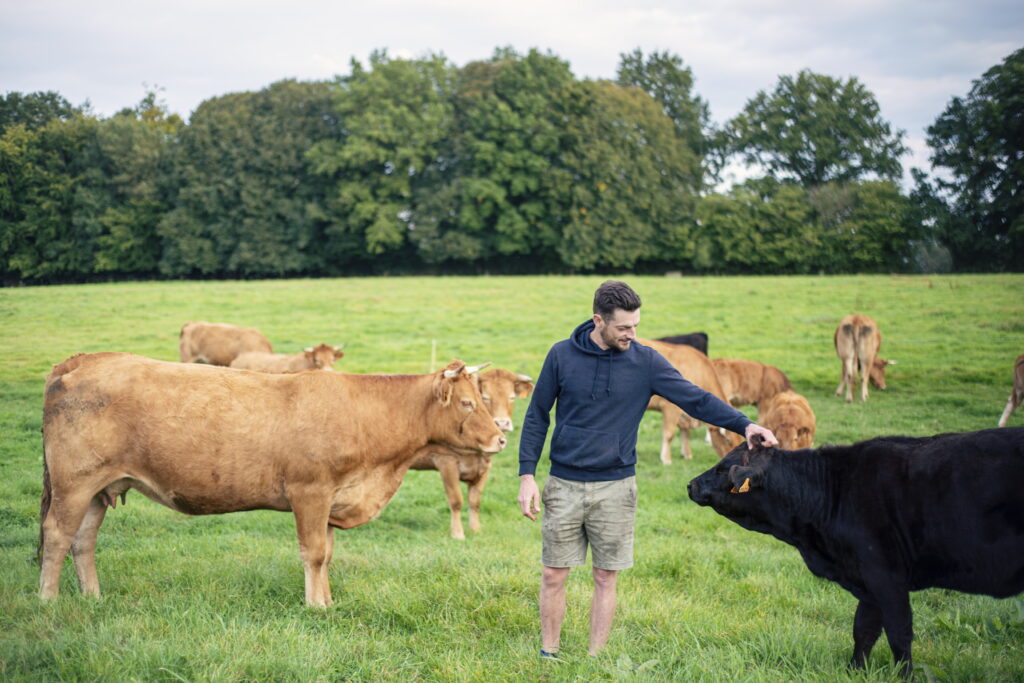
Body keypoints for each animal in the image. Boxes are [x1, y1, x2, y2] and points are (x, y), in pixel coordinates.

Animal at [38, 353, 506, 607]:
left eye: (482, 398)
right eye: (468, 403)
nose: (501, 437)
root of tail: (83, 360)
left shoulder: (332, 499)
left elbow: (327, 555)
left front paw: (327, 600)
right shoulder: (310, 492)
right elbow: (313, 553)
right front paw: (316, 606)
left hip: (99, 489)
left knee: (83, 541)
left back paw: (93, 597)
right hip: (74, 484)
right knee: (57, 535)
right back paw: (48, 599)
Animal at [408, 368, 534, 539]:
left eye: (512, 397)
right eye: (485, 397)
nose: (502, 423)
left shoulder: (485, 467)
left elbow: (475, 501)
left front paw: (475, 529)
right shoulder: (446, 462)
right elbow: (456, 500)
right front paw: (457, 534)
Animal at [688, 428, 1024, 676]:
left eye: (722, 468)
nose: (691, 485)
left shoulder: (886, 575)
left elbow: (899, 634)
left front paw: (904, 677)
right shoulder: (866, 579)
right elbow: (863, 630)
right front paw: (855, 672)